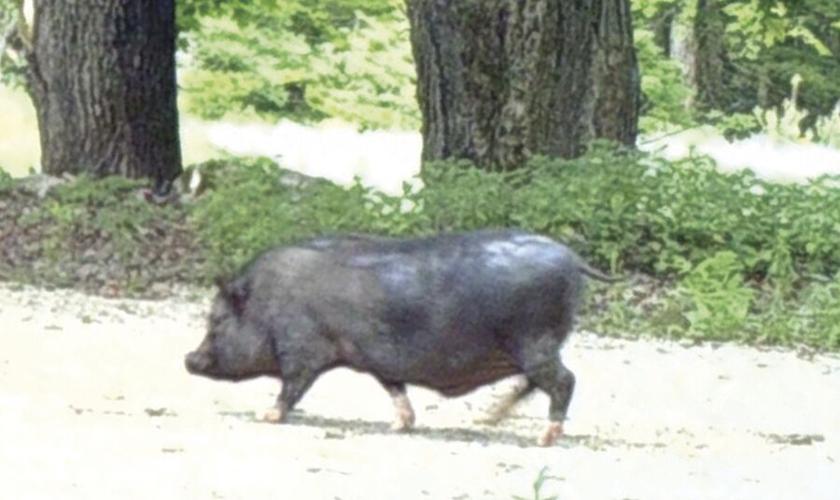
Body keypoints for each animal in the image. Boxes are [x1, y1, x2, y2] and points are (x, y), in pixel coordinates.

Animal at [185, 229, 616, 446]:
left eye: (217, 320)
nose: (188, 359)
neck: (267, 303)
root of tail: (573, 259)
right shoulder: (376, 359)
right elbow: (394, 387)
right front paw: (400, 426)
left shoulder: (303, 349)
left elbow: (292, 386)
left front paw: (267, 416)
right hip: (532, 346)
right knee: (534, 382)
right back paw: (489, 418)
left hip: (534, 341)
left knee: (564, 380)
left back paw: (544, 438)